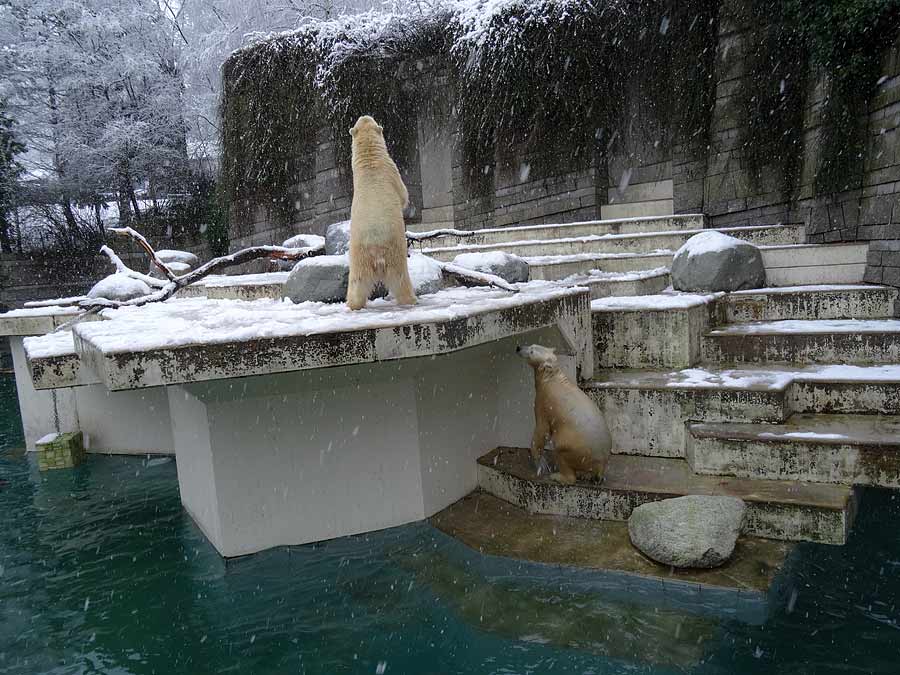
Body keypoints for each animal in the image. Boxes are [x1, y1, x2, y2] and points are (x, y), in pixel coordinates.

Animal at [346, 115, 416, 310]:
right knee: (400, 279)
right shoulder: (392, 171)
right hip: (394, 252)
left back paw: (353, 304)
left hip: (358, 258)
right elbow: (403, 195)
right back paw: (411, 299)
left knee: (357, 282)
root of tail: (375, 250)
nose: (364, 115)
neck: (370, 161)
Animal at [516, 346, 616, 484]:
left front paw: (540, 463)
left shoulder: (543, 401)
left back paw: (558, 476)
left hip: (575, 448)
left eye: (531, 351)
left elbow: (542, 430)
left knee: (561, 452)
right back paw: (586, 475)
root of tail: (601, 464)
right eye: (531, 345)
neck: (551, 376)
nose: (518, 348)